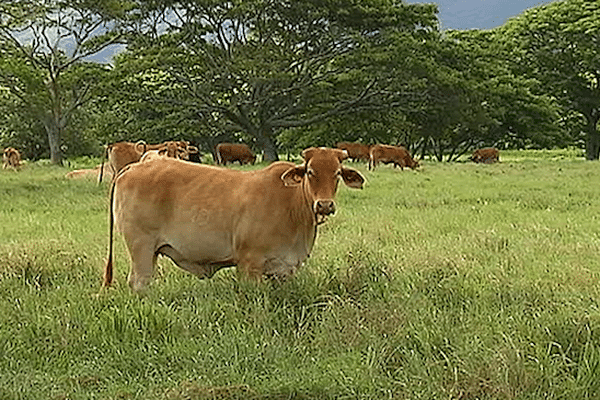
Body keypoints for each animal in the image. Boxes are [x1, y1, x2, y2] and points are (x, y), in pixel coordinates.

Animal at [103, 147, 366, 290]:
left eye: (338, 174)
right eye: (310, 172)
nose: (324, 204)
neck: (293, 206)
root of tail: (133, 168)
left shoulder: (285, 269)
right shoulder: (250, 265)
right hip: (141, 247)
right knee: (139, 281)